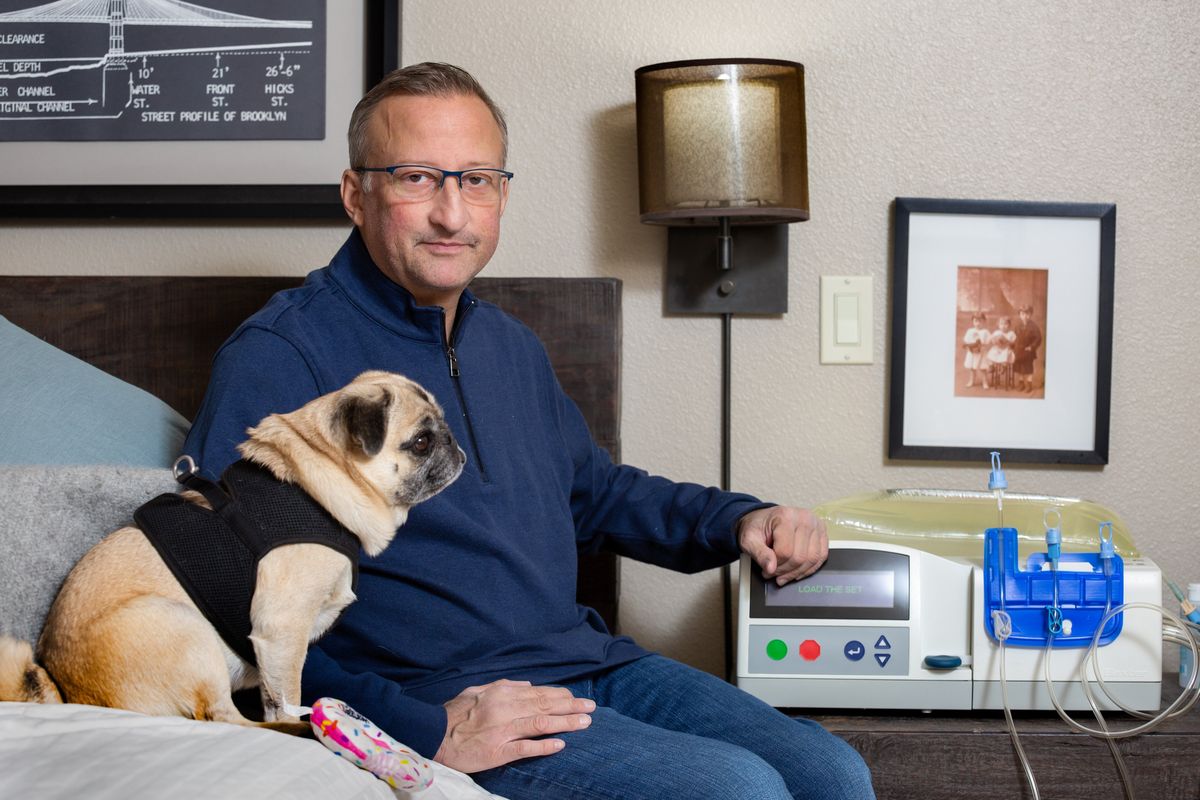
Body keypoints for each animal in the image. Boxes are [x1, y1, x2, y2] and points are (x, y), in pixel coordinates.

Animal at [0, 371, 463, 734]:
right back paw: (301, 732)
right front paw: (298, 719)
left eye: (441, 429)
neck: (314, 488)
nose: (455, 446)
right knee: (223, 717)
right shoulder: (282, 630)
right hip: (185, 629)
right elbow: (284, 695)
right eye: (421, 442)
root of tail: (69, 689)